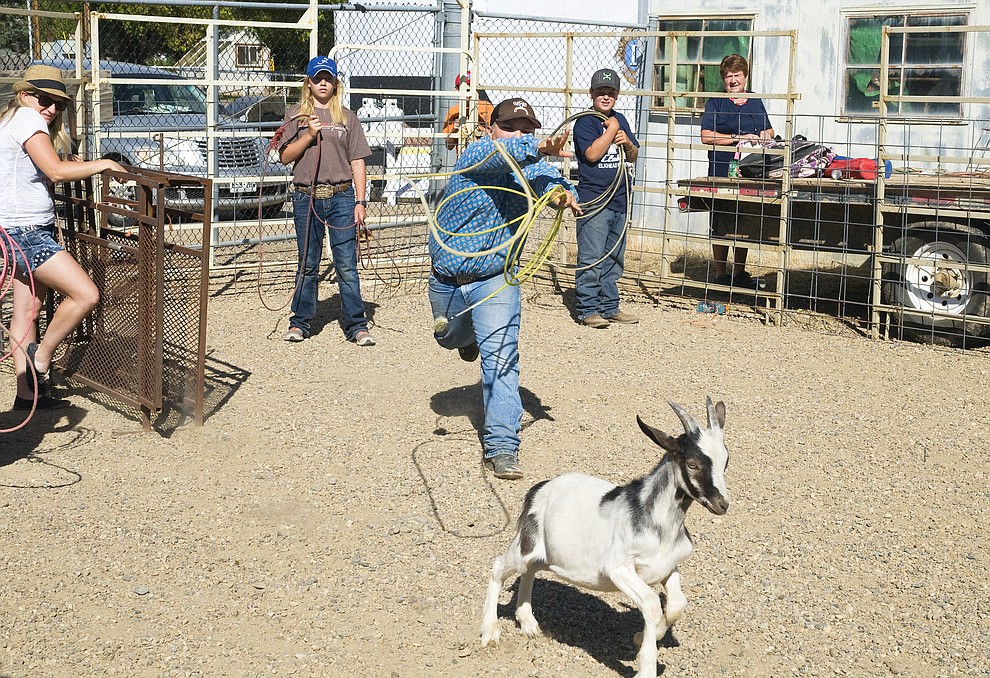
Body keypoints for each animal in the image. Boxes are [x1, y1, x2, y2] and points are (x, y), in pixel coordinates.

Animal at [480, 398, 728, 678]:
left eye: (726, 462)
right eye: (692, 464)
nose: (722, 504)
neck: (657, 521)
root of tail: (538, 489)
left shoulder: (668, 567)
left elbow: (676, 605)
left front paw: (643, 637)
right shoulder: (619, 569)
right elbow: (652, 604)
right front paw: (646, 663)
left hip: (547, 555)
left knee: (529, 571)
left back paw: (528, 623)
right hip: (526, 544)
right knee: (499, 566)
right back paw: (490, 631)